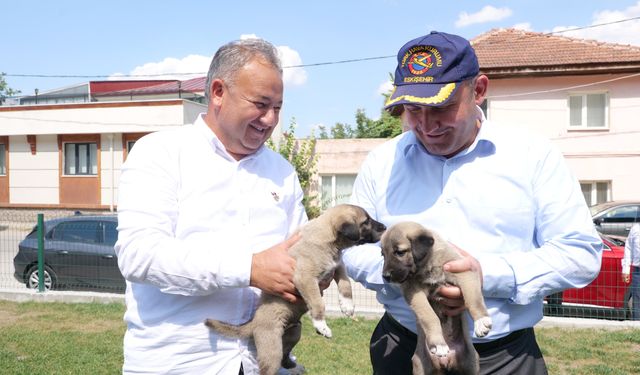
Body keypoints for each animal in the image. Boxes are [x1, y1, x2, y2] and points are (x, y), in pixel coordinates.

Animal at [205, 204, 384, 375]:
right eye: (366, 222)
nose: (383, 227)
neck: (327, 239)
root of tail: (253, 322)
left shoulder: (337, 265)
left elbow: (346, 284)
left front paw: (347, 306)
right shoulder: (306, 278)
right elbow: (318, 303)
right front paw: (321, 325)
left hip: (294, 332)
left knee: (285, 356)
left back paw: (295, 367)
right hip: (272, 347)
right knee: (272, 365)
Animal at [382, 222, 492, 374]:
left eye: (400, 252)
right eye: (383, 254)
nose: (385, 276)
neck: (428, 264)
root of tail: (447, 361)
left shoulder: (464, 271)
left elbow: (473, 298)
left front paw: (481, 321)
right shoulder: (414, 292)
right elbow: (430, 316)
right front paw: (438, 344)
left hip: (471, 363)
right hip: (421, 365)